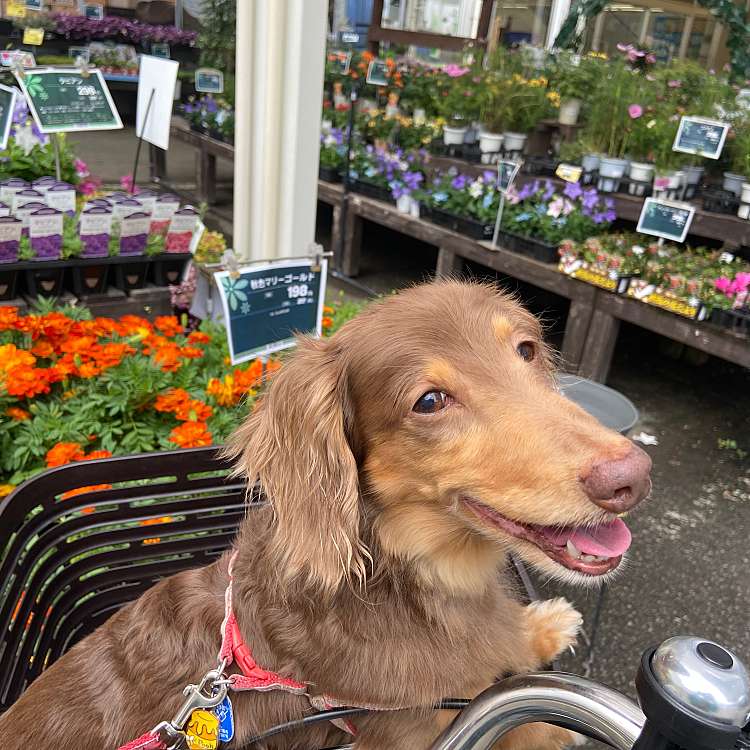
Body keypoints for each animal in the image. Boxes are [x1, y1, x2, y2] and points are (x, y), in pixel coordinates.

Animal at [0, 280, 652, 748]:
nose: (632, 478)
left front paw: (540, 627)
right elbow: (528, 717)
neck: (405, 579)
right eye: (430, 402)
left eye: (526, 351)